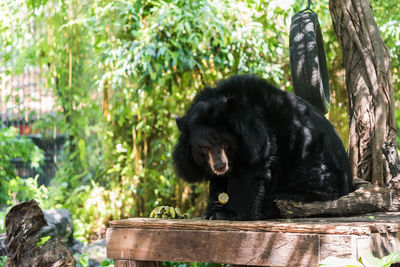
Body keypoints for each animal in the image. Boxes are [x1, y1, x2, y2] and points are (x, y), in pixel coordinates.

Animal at [173, 74, 352, 221]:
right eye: (204, 149)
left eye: (225, 143)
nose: (220, 166)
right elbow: (218, 181)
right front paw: (212, 209)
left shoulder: (259, 137)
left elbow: (252, 171)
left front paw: (229, 213)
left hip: (312, 157)